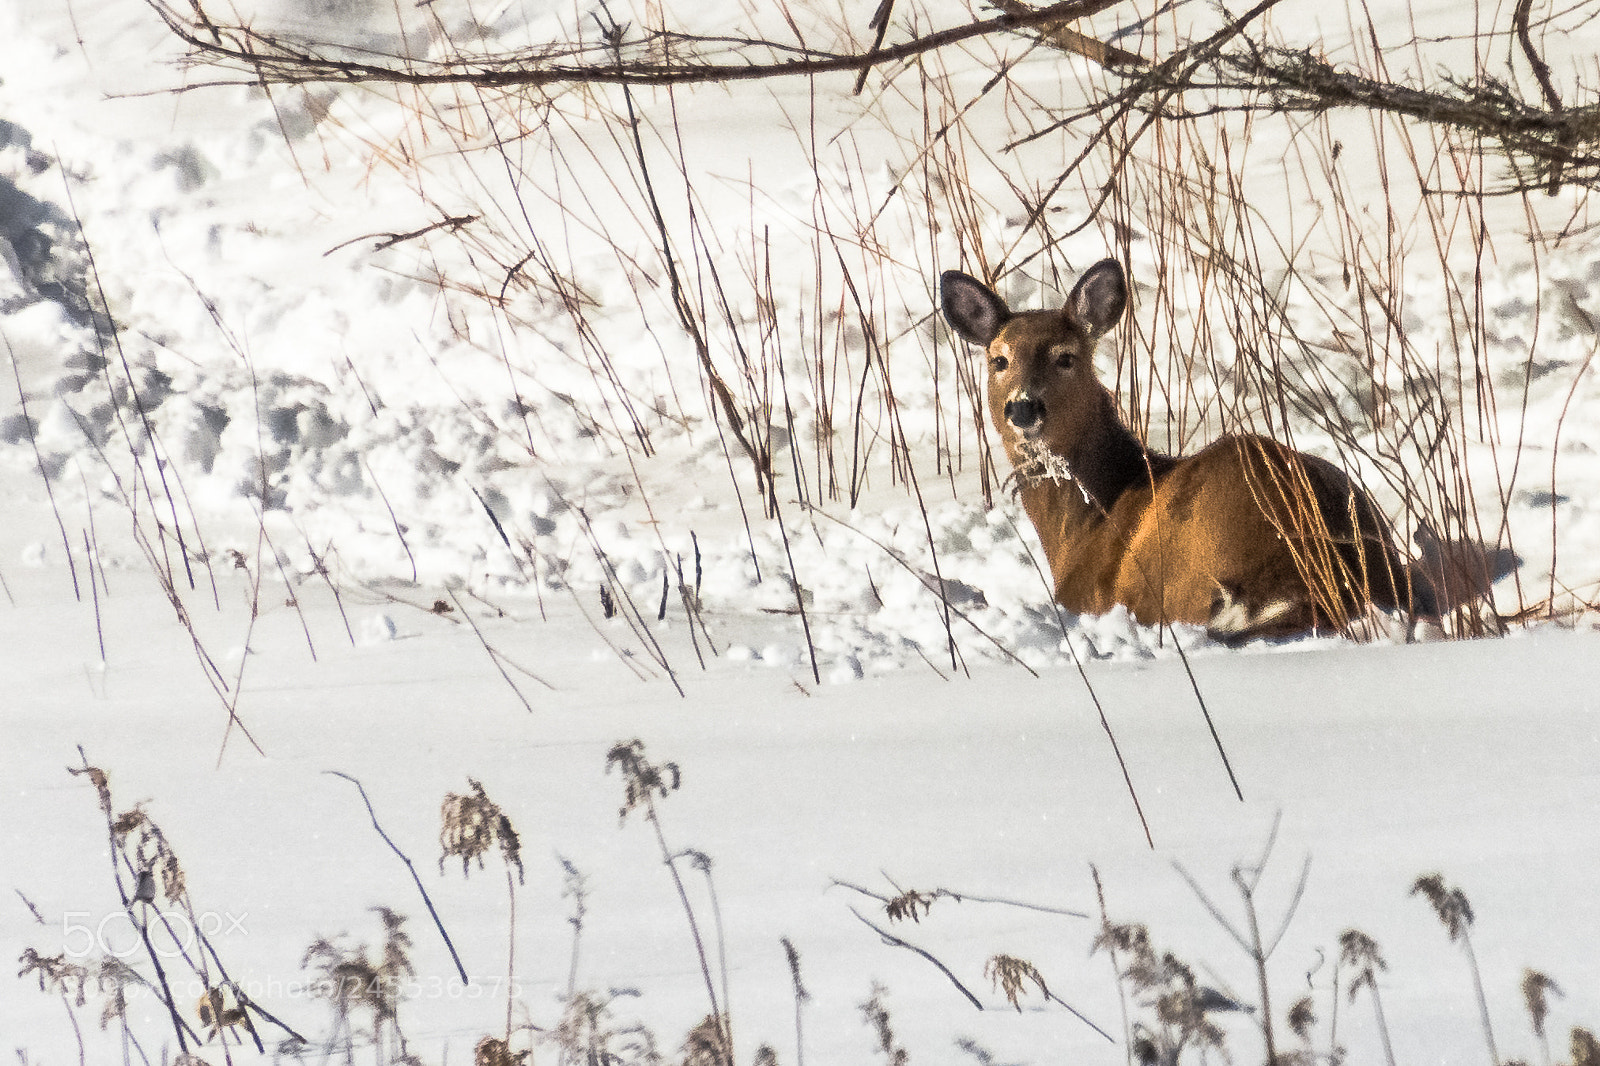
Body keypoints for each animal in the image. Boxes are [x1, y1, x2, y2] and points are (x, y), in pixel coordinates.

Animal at [940, 258, 1439, 643]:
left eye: (1066, 357)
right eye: (999, 359)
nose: (1023, 407)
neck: (1088, 523)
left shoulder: (1088, 594)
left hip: (1188, 568)